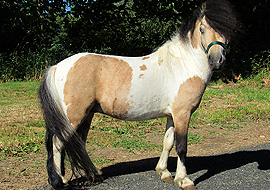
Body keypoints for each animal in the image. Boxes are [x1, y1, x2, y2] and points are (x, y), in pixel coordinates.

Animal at [38, 0, 236, 189]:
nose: (216, 60)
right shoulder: (183, 114)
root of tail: (57, 67)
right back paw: (61, 181)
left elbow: (168, 142)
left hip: (87, 115)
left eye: (228, 30)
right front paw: (184, 180)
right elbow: (181, 147)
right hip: (73, 116)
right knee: (58, 143)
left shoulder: (172, 115)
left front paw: (164, 173)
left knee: (78, 144)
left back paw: (92, 174)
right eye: (202, 29)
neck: (183, 65)